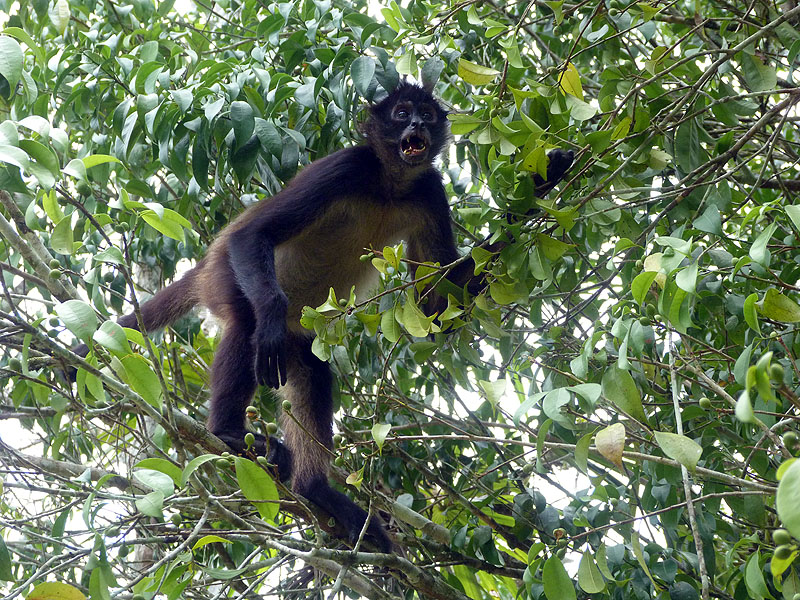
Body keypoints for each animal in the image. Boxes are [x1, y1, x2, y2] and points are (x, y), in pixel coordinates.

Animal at [72, 82, 576, 552]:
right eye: (401, 113)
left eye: (427, 115)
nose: (417, 126)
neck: (388, 184)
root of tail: (206, 265)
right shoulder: (345, 166)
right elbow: (256, 235)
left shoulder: (429, 190)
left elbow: (435, 311)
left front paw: (544, 180)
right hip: (229, 276)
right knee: (249, 320)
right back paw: (230, 428)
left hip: (300, 338)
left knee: (312, 370)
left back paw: (316, 489)